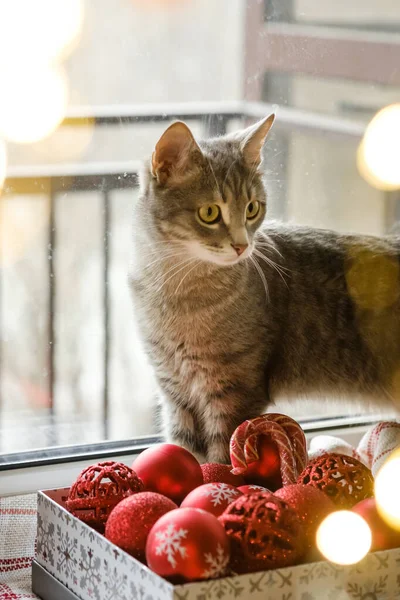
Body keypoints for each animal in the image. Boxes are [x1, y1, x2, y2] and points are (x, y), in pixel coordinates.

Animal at [130, 117, 400, 464]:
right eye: (209, 213)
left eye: (252, 209)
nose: (242, 246)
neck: (177, 291)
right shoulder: (174, 389)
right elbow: (186, 450)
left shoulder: (234, 390)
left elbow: (220, 459)